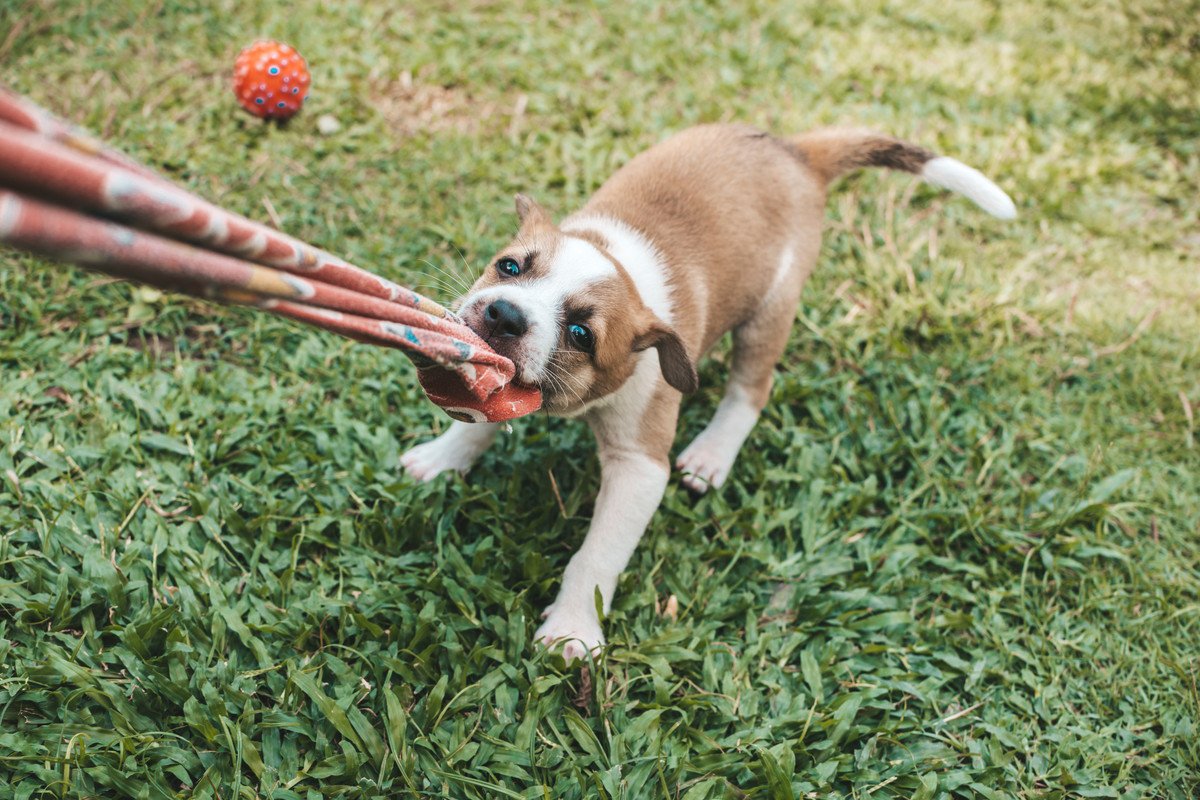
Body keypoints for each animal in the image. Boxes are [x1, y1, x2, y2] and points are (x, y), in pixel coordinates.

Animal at [400, 126, 1012, 662]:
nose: (504, 315)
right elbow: (477, 418)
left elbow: (596, 556)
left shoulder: (640, 467)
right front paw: (444, 458)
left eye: (580, 334)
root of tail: (796, 152)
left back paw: (715, 452)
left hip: (769, 314)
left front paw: (574, 627)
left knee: (751, 389)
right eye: (509, 266)